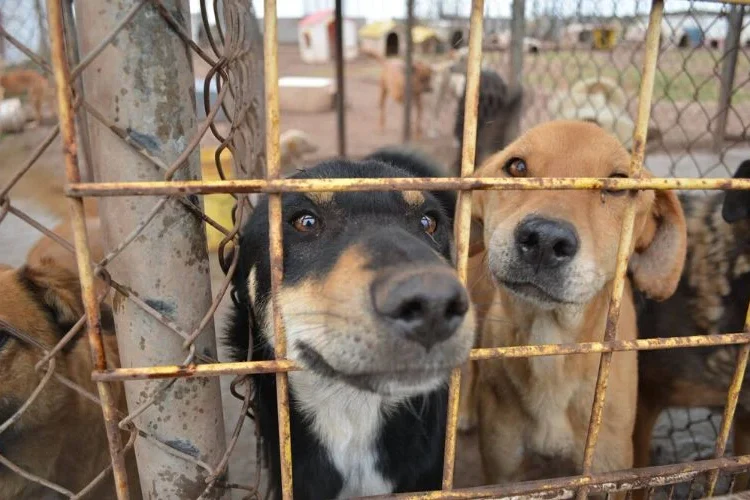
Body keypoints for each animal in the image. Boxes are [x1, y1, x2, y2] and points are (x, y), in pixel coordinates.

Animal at [472, 123, 692, 486]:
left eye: (617, 185)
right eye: (516, 167)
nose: (545, 239)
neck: (550, 346)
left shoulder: (606, 470)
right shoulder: (504, 472)